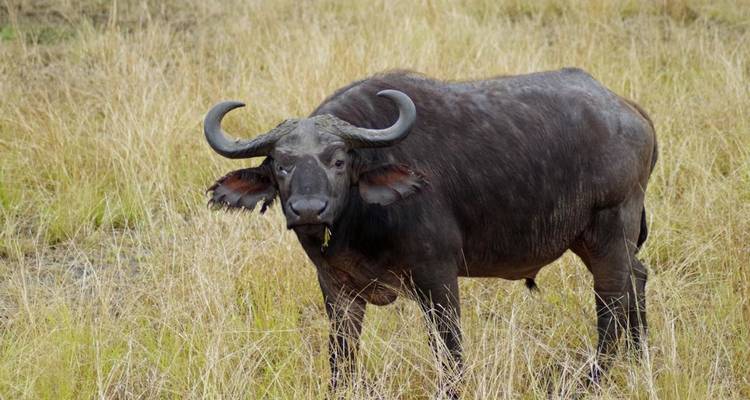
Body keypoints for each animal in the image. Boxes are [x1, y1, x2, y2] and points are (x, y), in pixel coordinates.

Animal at [204, 68, 657, 396]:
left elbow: (448, 348)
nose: (308, 210)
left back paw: (594, 377)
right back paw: (639, 357)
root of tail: (629, 110)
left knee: (612, 301)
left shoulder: (437, 278)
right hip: (593, 239)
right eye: (281, 165)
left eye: (338, 160)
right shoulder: (337, 288)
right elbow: (341, 355)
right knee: (637, 278)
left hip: (610, 229)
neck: (359, 224)